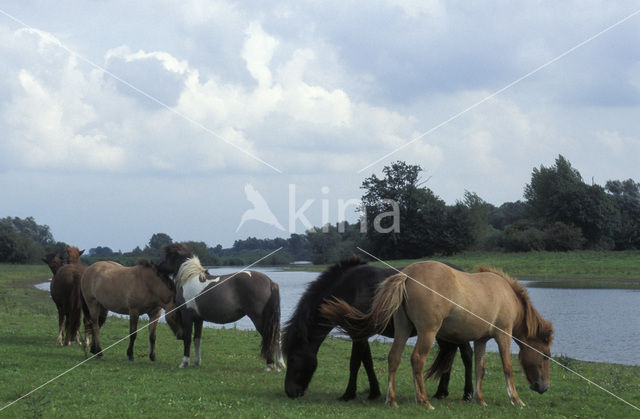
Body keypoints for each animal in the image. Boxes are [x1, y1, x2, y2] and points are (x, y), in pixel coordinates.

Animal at [282, 258, 472, 402]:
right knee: (448, 354)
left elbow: (355, 363)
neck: (349, 288)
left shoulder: (358, 334)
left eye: (291, 359)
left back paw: (468, 394)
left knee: (466, 355)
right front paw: (374, 392)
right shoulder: (360, 334)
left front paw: (348, 394)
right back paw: (441, 392)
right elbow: (367, 361)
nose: (290, 392)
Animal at [322, 262, 552, 410]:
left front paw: (479, 399)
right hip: (428, 332)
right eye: (545, 356)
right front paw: (516, 400)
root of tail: (407, 275)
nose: (543, 387)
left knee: (394, 358)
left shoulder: (481, 340)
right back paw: (423, 401)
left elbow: (480, 368)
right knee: (417, 359)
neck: (506, 294)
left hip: (403, 329)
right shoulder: (503, 335)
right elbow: (508, 367)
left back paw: (392, 400)